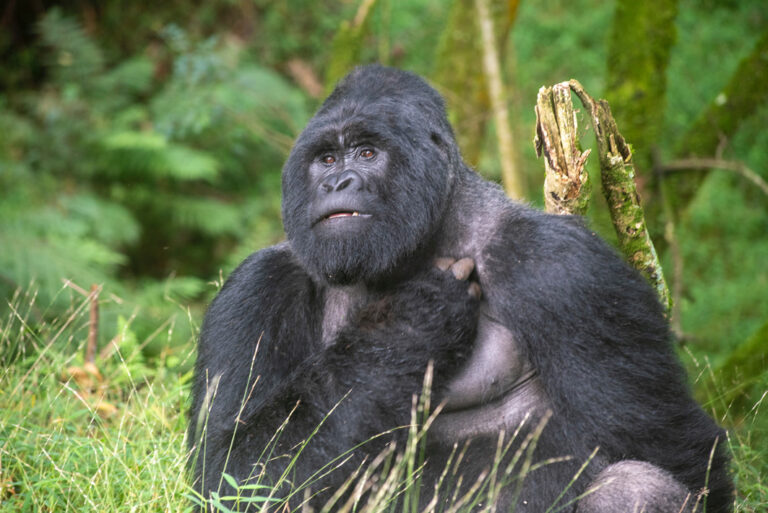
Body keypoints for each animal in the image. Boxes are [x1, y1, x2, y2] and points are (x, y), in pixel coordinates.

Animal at [190, 66, 732, 510]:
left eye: (366, 153)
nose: (336, 184)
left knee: (636, 486)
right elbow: (230, 470)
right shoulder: (255, 288)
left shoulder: (564, 268)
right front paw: (409, 322)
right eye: (325, 159)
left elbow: (680, 455)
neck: (425, 243)